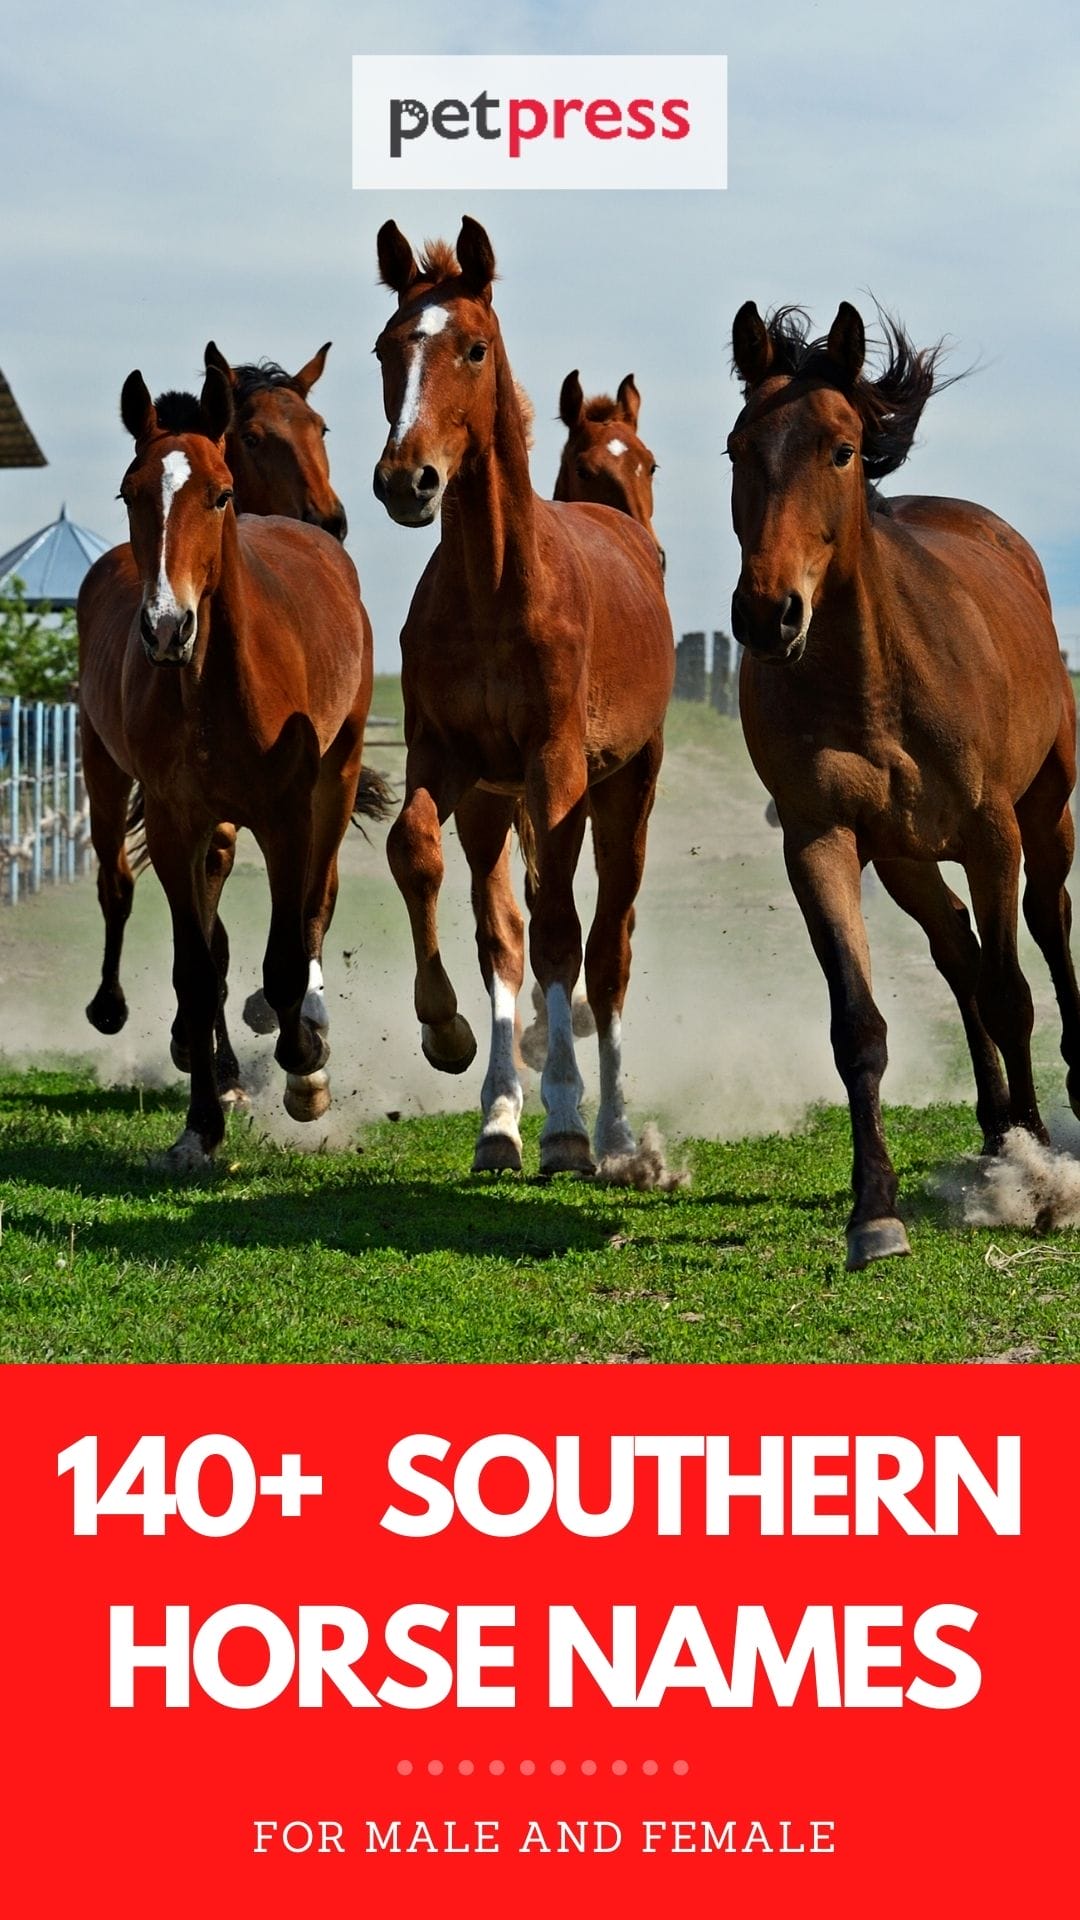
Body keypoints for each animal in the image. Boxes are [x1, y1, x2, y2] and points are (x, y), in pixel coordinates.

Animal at [78, 364, 377, 1165]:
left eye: (219, 493)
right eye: (130, 493)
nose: (165, 626)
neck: (216, 680)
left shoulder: (286, 816)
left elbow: (285, 954)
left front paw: (304, 1066)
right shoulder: (181, 821)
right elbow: (197, 962)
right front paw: (201, 1121)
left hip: (336, 779)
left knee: (314, 907)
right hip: (101, 765)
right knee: (118, 886)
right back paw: (121, 1010)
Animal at [728, 298, 1080, 1268]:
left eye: (841, 448)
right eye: (737, 448)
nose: (767, 614)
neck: (874, 679)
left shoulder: (994, 836)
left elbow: (1012, 994)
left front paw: (1038, 1167)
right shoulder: (821, 842)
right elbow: (859, 1027)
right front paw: (874, 1212)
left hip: (1045, 816)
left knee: (1046, 926)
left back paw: (1047, 1115)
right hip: (907, 859)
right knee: (956, 947)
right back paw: (995, 1129)